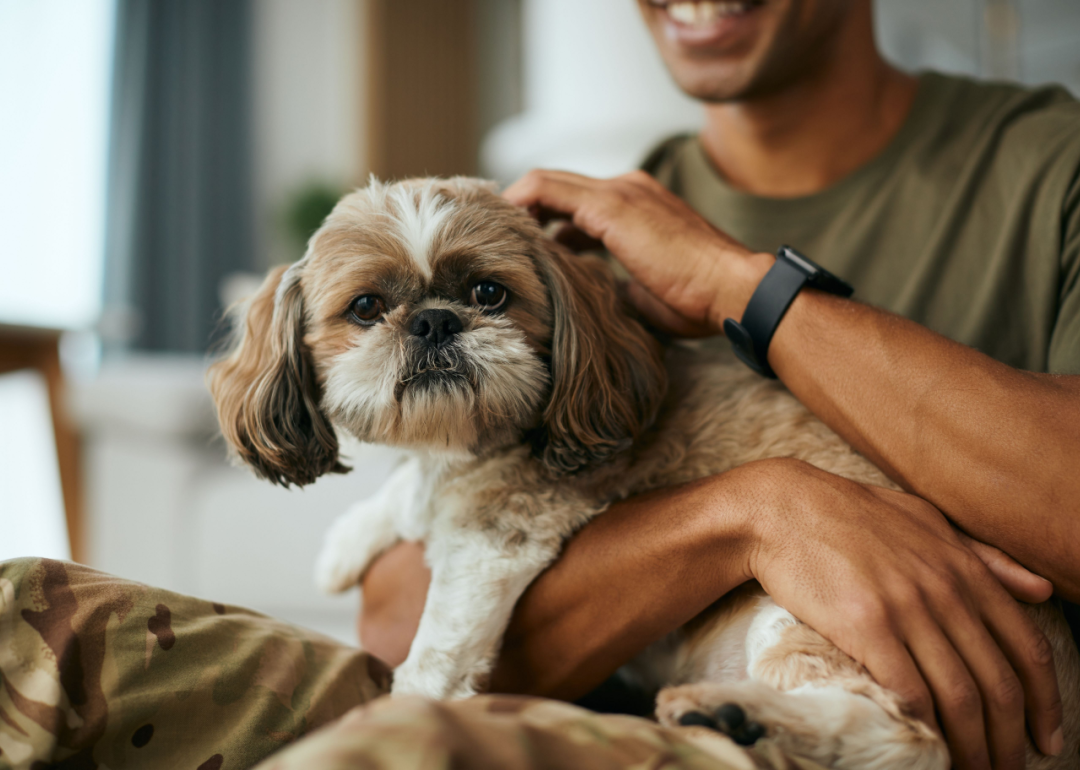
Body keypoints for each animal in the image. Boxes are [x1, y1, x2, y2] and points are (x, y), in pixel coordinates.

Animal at [206, 177, 1075, 764]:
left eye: (489, 292)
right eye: (365, 307)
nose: (433, 321)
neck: (472, 442)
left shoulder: (500, 533)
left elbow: (439, 648)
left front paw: (407, 701)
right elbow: (407, 497)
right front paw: (348, 543)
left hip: (817, 612)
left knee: (908, 738)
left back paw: (739, 716)